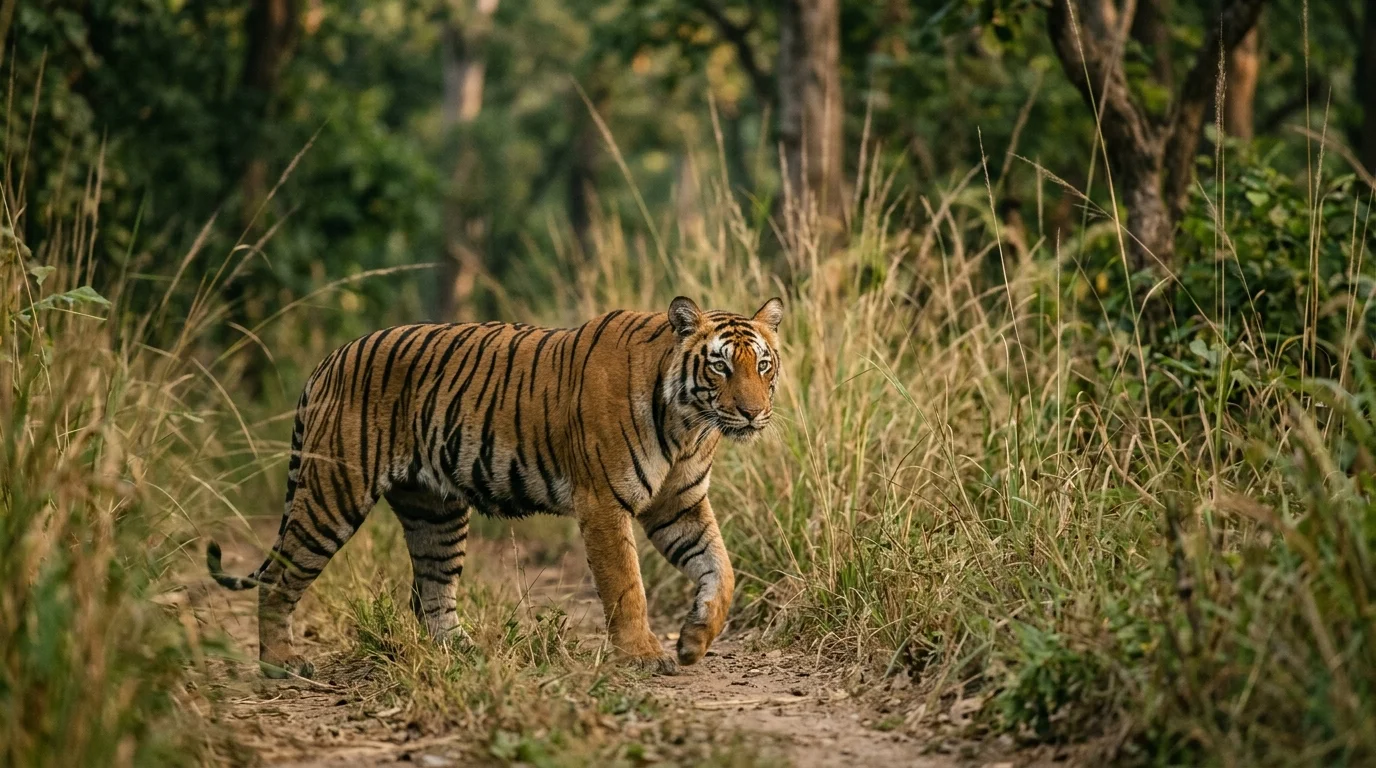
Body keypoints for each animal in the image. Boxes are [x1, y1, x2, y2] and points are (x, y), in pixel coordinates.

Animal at [206, 296, 783, 678]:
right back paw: (281, 664)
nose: (753, 413)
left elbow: (721, 570)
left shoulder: (678, 506)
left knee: (432, 592)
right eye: (720, 366)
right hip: (333, 492)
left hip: (435, 511)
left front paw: (694, 640)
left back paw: (465, 655)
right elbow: (626, 586)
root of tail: (328, 360)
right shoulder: (603, 502)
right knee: (277, 578)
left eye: (763, 365)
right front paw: (643, 654)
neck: (689, 425)